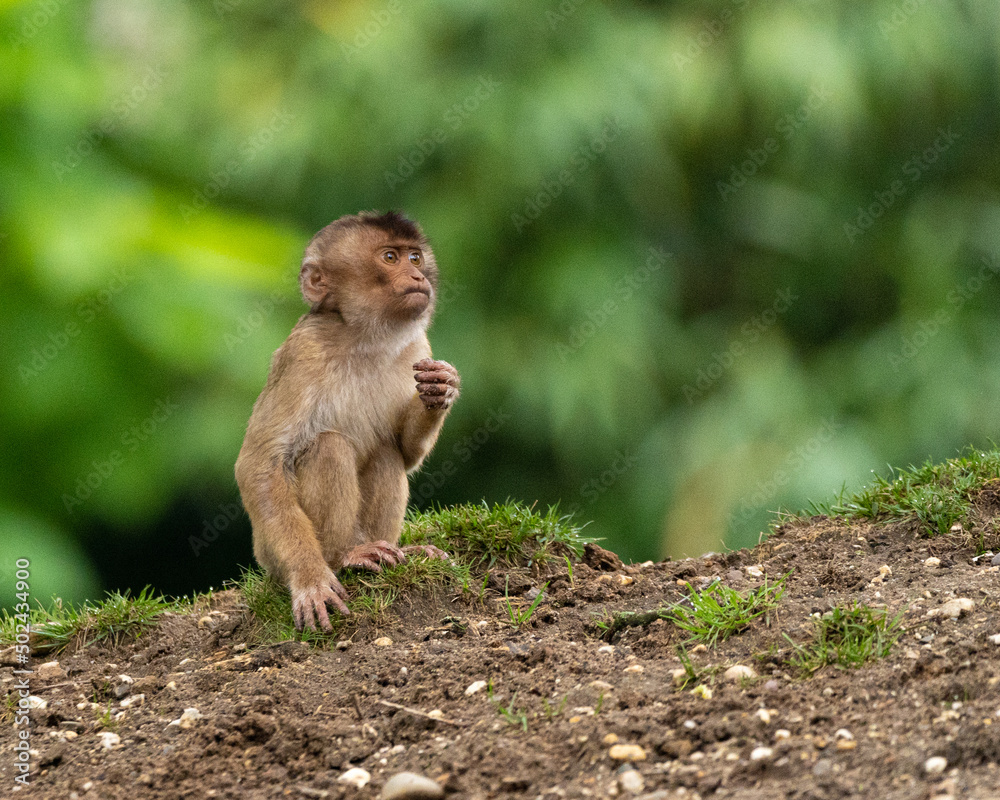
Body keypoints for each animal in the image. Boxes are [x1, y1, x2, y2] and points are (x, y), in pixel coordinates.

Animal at [238, 211, 460, 632]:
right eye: (390, 258)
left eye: (415, 257)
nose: (418, 276)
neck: (364, 339)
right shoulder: (303, 353)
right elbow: (261, 466)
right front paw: (311, 580)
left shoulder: (417, 347)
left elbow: (405, 452)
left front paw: (440, 389)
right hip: (269, 554)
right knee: (328, 445)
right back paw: (343, 556)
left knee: (386, 451)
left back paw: (393, 550)